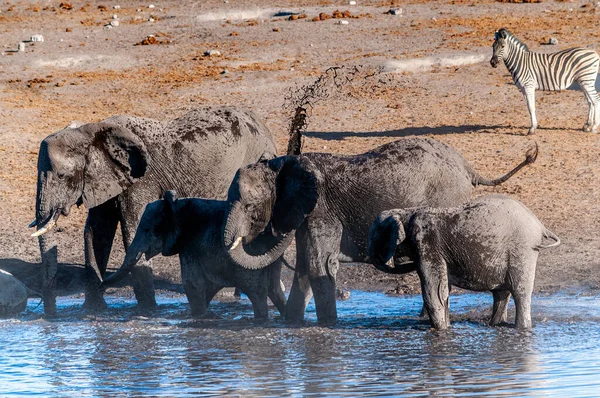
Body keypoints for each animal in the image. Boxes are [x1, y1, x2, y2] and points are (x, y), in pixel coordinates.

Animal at [102, 191, 288, 318]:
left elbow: (192, 284)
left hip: (251, 257)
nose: (101, 283)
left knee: (256, 292)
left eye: (147, 229)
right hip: (269, 256)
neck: (175, 206)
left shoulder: (190, 246)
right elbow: (206, 287)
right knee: (274, 290)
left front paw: (199, 318)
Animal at [221, 138, 540, 324]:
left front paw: (327, 327)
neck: (281, 166)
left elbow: (319, 265)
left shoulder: (322, 211)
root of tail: (467, 166)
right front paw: (292, 324)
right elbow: (304, 268)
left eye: (250, 206)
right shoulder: (308, 215)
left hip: (447, 200)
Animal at [368, 194, 560, 330]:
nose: (402, 262)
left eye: (375, 236)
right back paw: (495, 325)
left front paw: (441, 331)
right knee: (501, 293)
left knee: (520, 293)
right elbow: (444, 290)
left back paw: (521, 328)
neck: (406, 212)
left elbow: (434, 292)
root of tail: (540, 226)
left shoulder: (427, 244)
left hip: (523, 250)